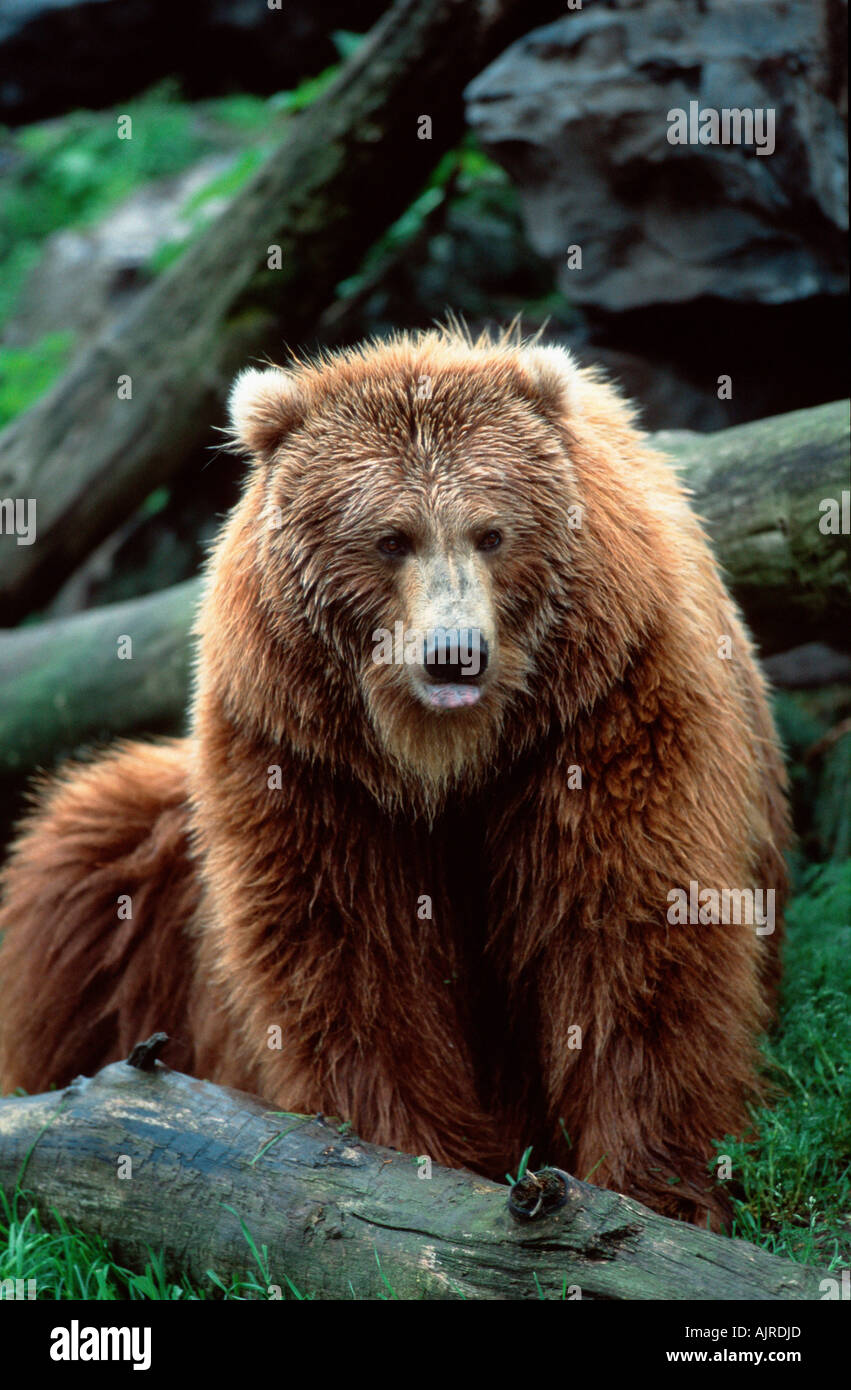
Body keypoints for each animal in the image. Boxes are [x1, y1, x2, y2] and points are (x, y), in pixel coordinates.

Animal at [0, 322, 789, 1217]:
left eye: (491, 531)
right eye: (389, 538)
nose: (454, 655)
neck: (446, 752)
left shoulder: (608, 703)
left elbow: (630, 927)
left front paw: (654, 1186)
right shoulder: (307, 758)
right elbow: (350, 955)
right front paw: (410, 1155)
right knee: (81, 874)